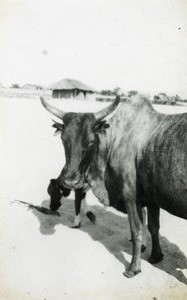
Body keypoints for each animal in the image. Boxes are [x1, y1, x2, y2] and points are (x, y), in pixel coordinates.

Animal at [40, 95, 186, 278]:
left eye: (90, 142)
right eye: (63, 140)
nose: (71, 181)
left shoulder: (130, 196)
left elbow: (136, 230)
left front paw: (133, 268)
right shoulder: (153, 199)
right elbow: (153, 227)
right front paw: (155, 256)